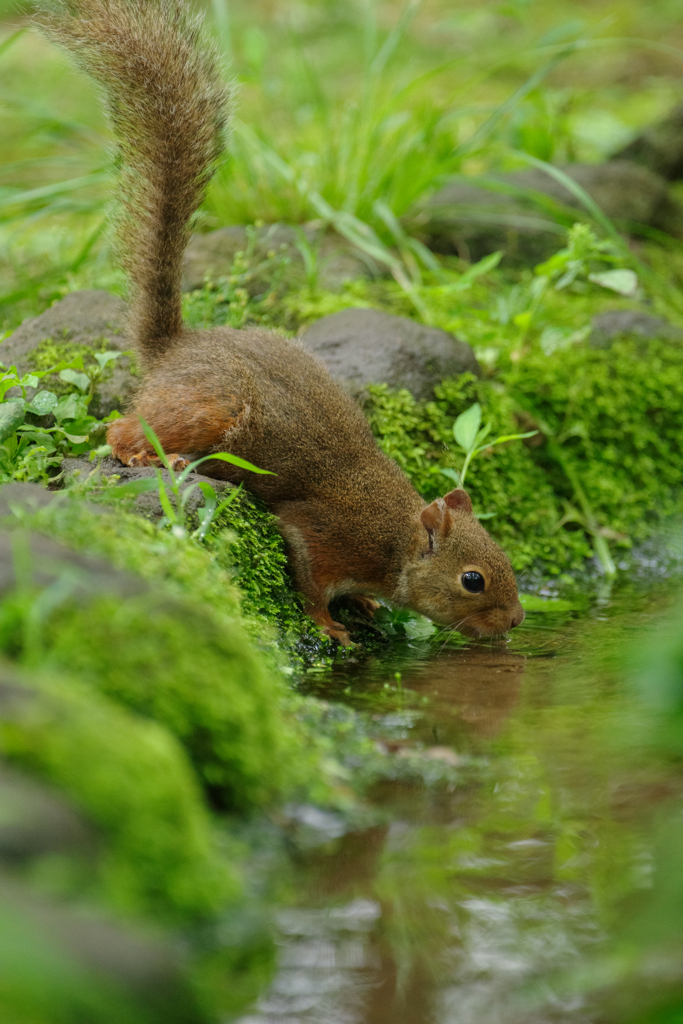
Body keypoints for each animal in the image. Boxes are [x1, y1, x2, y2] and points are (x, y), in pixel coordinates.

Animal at [37, 0, 524, 643]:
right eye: (473, 580)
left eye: (505, 558)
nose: (517, 619)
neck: (394, 539)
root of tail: (173, 348)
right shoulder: (321, 534)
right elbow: (311, 581)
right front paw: (330, 625)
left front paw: (365, 605)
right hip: (207, 407)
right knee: (120, 428)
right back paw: (145, 457)